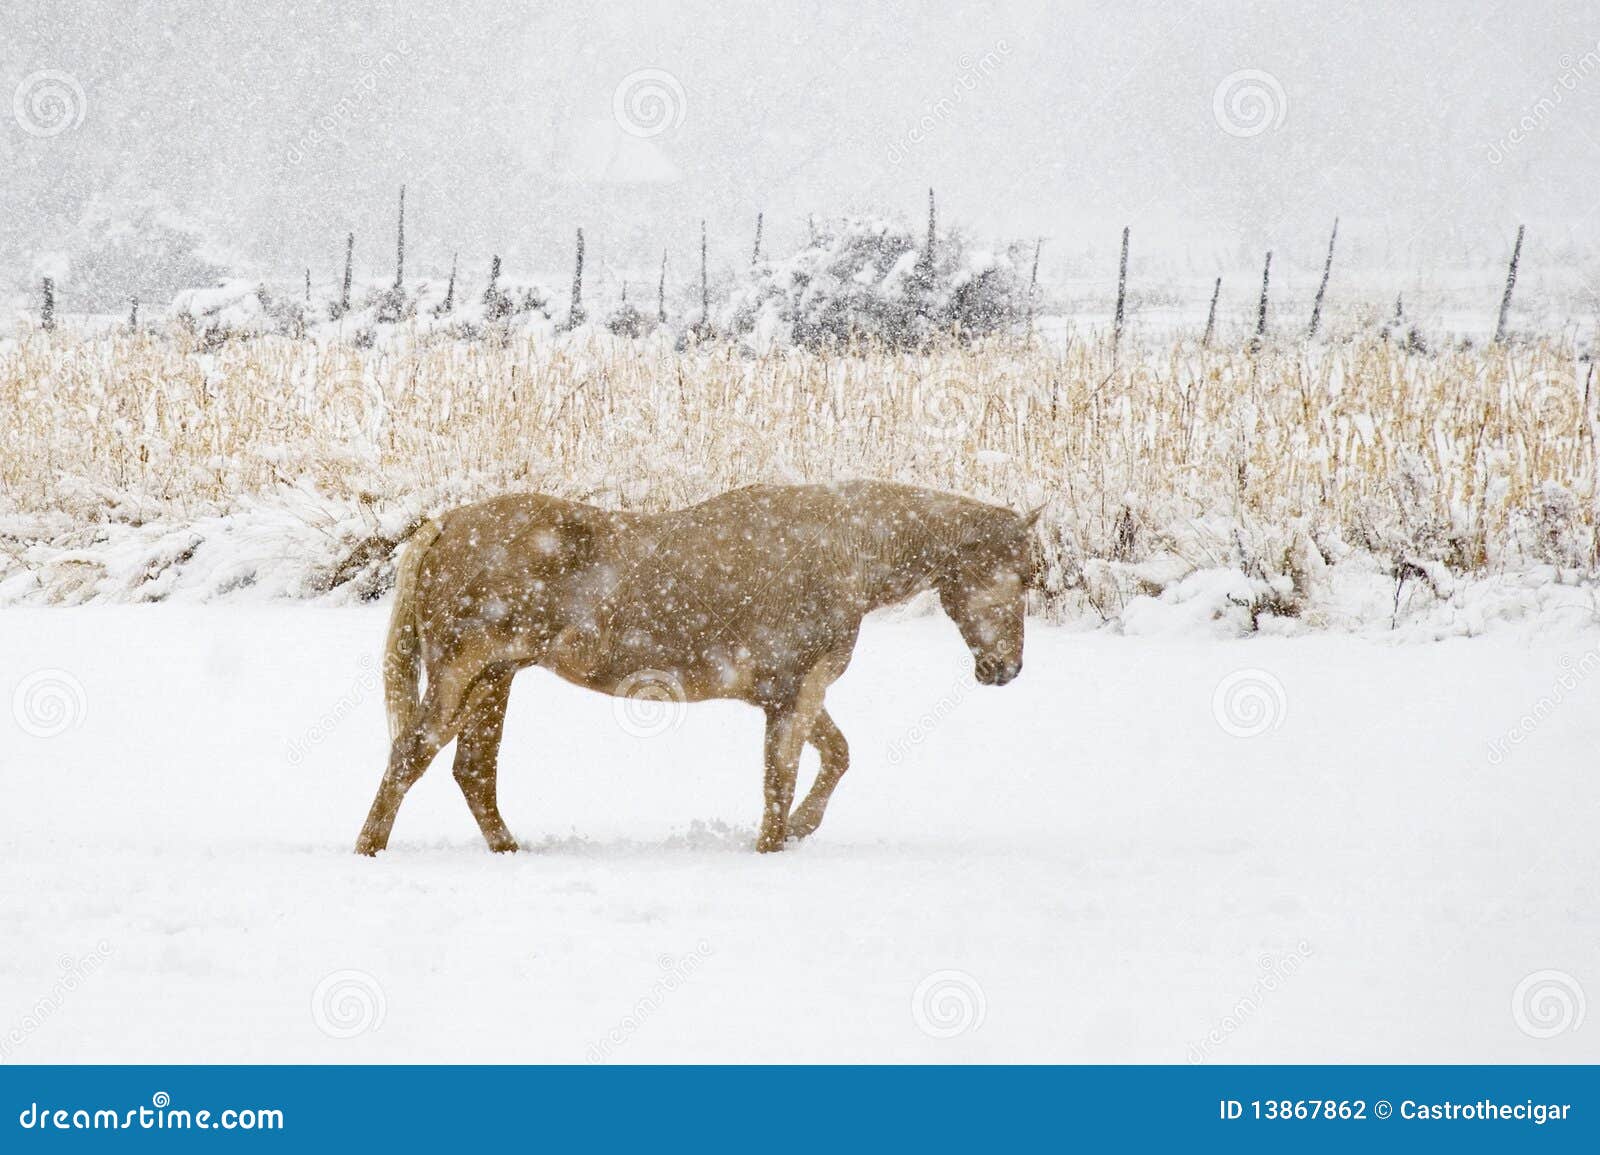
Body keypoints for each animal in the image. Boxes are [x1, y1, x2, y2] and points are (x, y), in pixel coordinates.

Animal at [355, 480, 1042, 856]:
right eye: (1023, 576)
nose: (1005, 669)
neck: (843, 549)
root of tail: (446, 524)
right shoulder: (795, 696)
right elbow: (779, 784)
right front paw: (773, 845)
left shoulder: (793, 694)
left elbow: (837, 758)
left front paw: (802, 829)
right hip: (459, 678)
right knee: (410, 756)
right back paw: (369, 850)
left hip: (494, 679)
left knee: (471, 771)